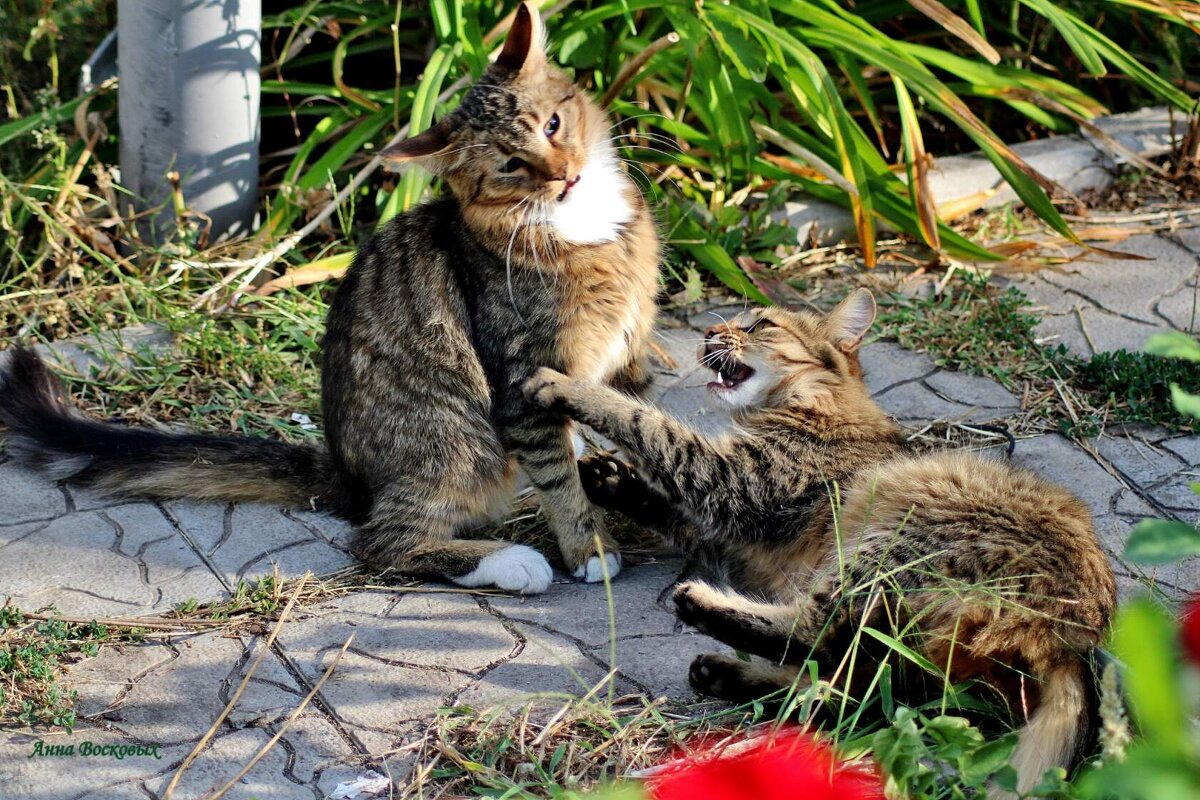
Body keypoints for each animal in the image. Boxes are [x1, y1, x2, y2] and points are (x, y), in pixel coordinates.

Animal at [0, 1, 662, 594]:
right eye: (510, 164)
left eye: (553, 125)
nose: (564, 175)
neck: (587, 231)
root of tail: (347, 476)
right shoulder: (525, 381)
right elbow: (561, 480)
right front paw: (591, 548)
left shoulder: (625, 358)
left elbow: (636, 420)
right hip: (456, 443)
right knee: (383, 544)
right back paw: (512, 562)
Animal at [523, 289, 1113, 796]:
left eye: (757, 324)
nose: (710, 330)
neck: (819, 401)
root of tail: (1075, 636)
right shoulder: (726, 534)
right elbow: (665, 499)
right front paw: (609, 478)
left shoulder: (735, 483)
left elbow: (648, 423)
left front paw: (563, 385)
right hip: (910, 644)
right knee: (859, 694)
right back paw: (728, 674)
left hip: (887, 544)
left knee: (821, 641)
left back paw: (702, 610)